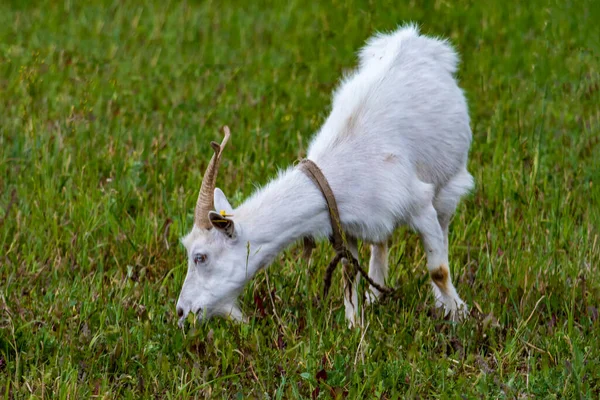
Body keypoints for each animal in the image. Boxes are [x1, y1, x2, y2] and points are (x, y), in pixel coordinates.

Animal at [176, 24, 472, 328]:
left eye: (200, 257)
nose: (181, 312)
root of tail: (414, 38)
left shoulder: (419, 205)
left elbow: (438, 269)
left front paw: (461, 315)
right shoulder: (347, 225)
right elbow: (348, 274)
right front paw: (354, 326)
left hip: (450, 182)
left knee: (443, 226)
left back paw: (441, 302)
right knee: (381, 242)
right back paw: (375, 296)